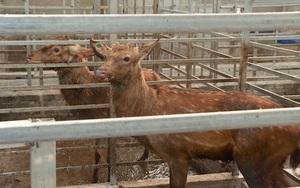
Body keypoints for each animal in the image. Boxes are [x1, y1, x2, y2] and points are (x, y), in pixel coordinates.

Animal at [91, 38, 300, 188]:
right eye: (105, 56)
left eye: (126, 58)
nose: (100, 72)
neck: (149, 109)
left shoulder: (178, 152)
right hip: (273, 161)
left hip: (254, 156)